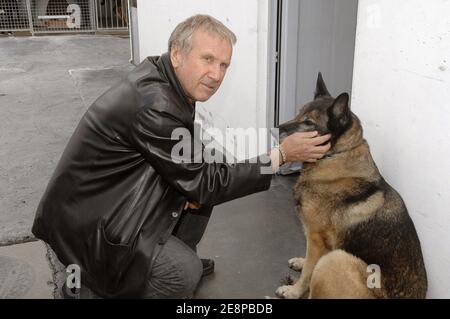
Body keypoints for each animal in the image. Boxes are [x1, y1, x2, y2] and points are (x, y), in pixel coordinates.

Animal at [274, 74, 428, 298]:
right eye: (298, 113)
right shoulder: (316, 241)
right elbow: (308, 262)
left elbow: (309, 270)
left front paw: (294, 290)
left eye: (308, 122)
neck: (335, 155)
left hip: (336, 259)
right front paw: (301, 263)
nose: (275, 129)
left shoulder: (315, 238)